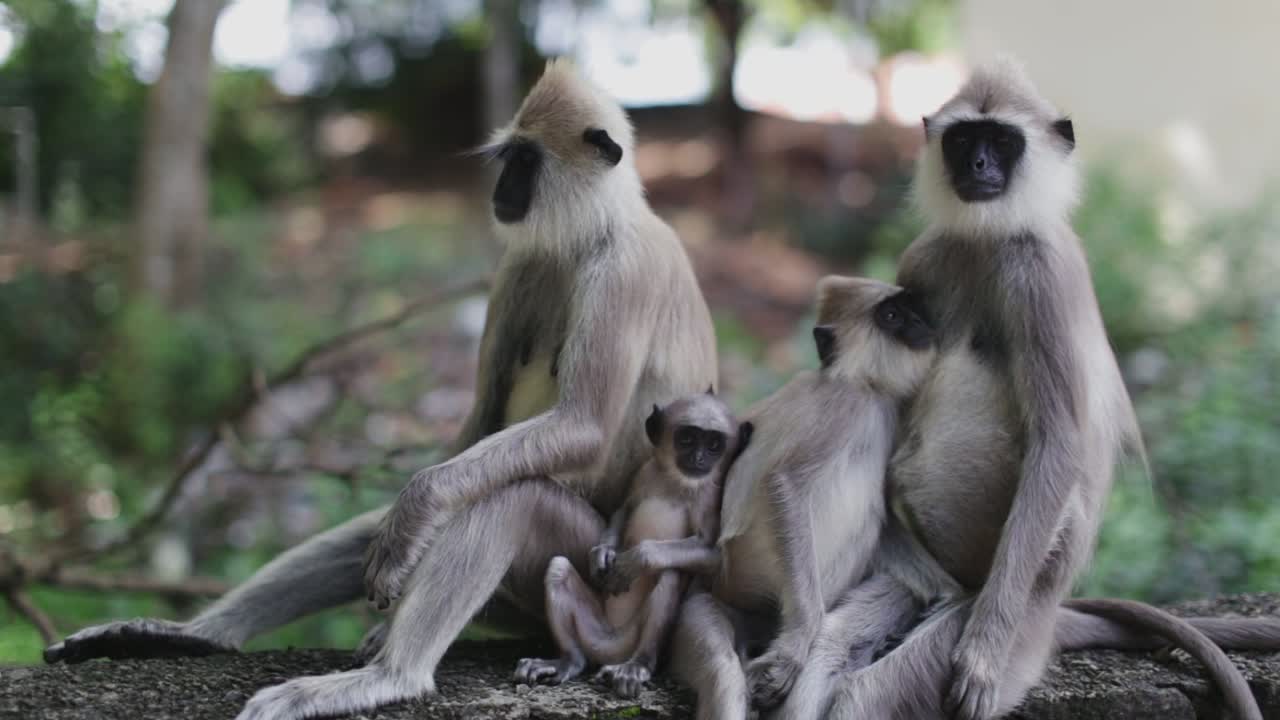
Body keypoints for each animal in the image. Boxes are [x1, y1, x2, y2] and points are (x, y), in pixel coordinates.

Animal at [45, 59, 721, 720]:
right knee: (416, 513)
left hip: (601, 575)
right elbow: (481, 422)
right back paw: (200, 634)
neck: (591, 234)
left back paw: (392, 675)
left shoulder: (624, 271)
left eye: (525, 161)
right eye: (509, 158)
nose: (502, 190)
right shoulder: (521, 265)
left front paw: (417, 513)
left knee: (510, 498)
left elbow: (581, 428)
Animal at [513, 392, 753, 698]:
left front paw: (636, 560)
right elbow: (624, 510)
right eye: (687, 438)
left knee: (669, 574)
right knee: (558, 568)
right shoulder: (645, 472)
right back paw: (568, 660)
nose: (698, 458)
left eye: (713, 445)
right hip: (594, 628)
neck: (675, 483)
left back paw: (636, 666)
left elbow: (715, 556)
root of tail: (613, 646)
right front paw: (602, 554)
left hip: (633, 635)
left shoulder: (710, 496)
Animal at [762, 57, 1276, 720]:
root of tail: (1046, 615)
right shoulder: (922, 259)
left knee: (872, 691)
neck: (988, 238)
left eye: (1001, 142)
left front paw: (981, 656)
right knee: (842, 640)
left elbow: (1058, 440)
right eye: (963, 141)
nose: (980, 165)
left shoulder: (1042, 276)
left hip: (1015, 618)